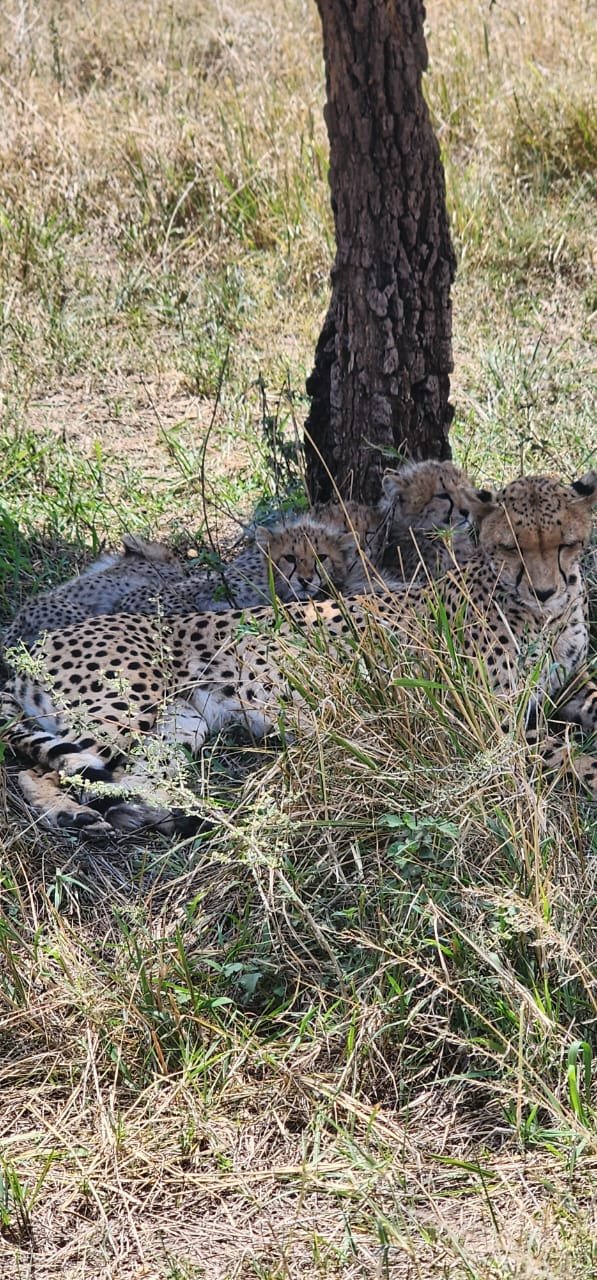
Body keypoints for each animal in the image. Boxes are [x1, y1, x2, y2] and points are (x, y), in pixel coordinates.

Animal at [2, 472, 596, 836]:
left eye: (566, 543)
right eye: (509, 546)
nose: (546, 590)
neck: (541, 615)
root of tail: (31, 648)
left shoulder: (568, 682)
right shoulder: (486, 719)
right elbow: (568, 754)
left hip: (178, 728)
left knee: (121, 780)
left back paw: (161, 816)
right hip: (124, 712)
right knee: (46, 772)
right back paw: (77, 818)